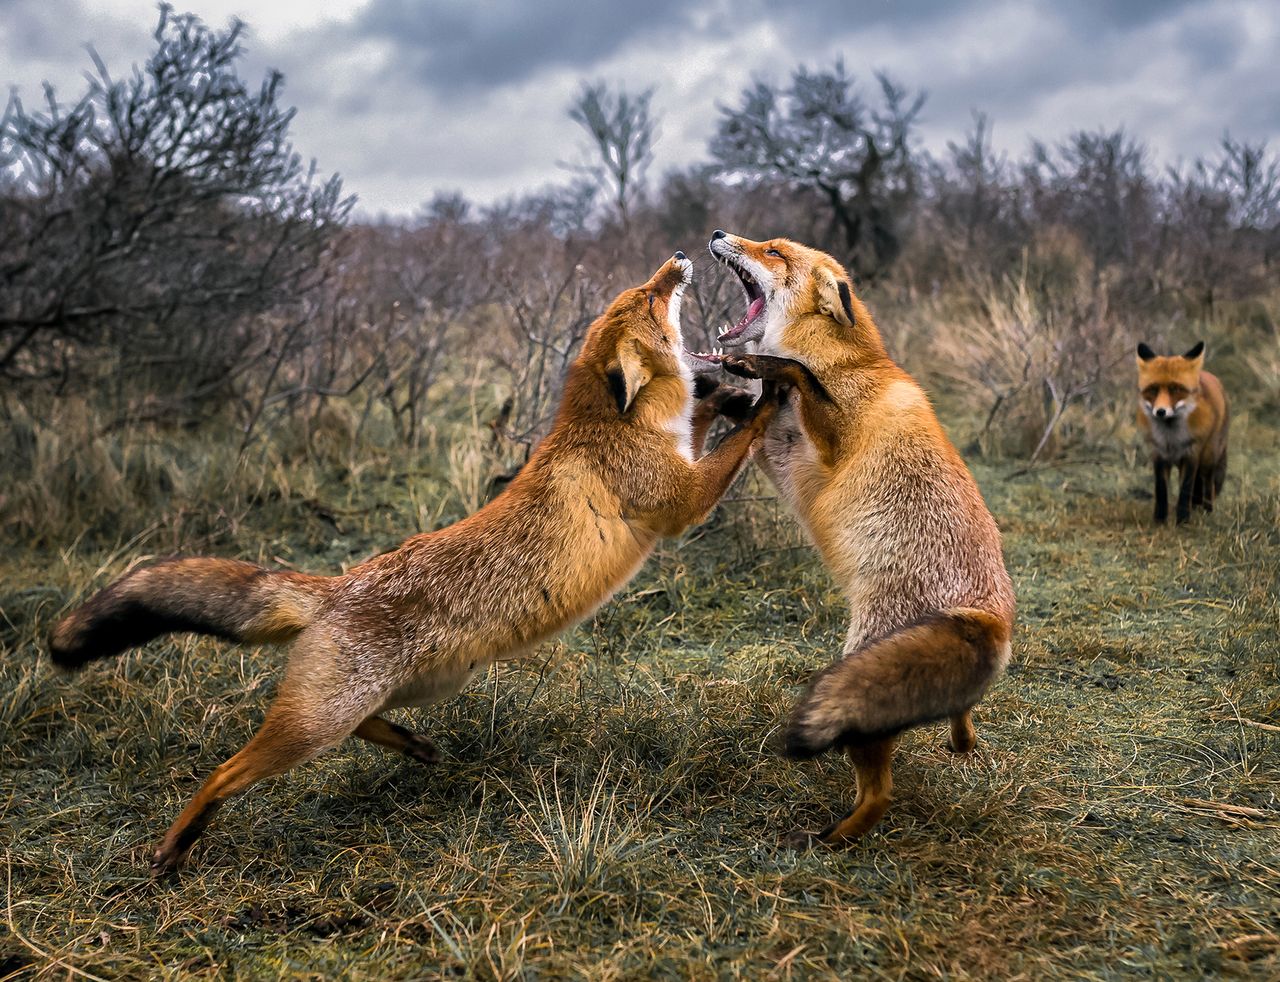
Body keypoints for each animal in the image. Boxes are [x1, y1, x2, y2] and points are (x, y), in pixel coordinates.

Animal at [47, 253, 768, 875]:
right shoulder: (680, 504)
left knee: (366, 724)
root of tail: (337, 588)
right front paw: (769, 395)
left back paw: (411, 745)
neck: (615, 426)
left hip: (410, 691)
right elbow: (741, 441)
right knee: (225, 772)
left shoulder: (682, 468)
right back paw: (175, 845)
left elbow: (710, 420)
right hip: (317, 724)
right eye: (649, 299)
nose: (678, 259)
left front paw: (731, 394)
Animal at [696, 233, 1013, 850]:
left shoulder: (828, 445)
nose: (719, 233)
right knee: (958, 718)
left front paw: (757, 364)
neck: (846, 362)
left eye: (773, 251)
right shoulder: (778, 446)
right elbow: (748, 400)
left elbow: (796, 373)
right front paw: (712, 380)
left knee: (879, 795)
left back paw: (828, 840)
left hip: (861, 705)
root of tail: (988, 617)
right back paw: (960, 737)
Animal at [1141, 340, 1228, 522]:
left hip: (1209, 457)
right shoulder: (1159, 455)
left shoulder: (1191, 454)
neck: (1171, 438)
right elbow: (1161, 489)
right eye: (1153, 389)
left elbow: (1186, 489)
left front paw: (1182, 521)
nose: (1160, 411)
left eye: (1176, 389)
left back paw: (1207, 512)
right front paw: (1159, 521)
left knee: (1207, 483)